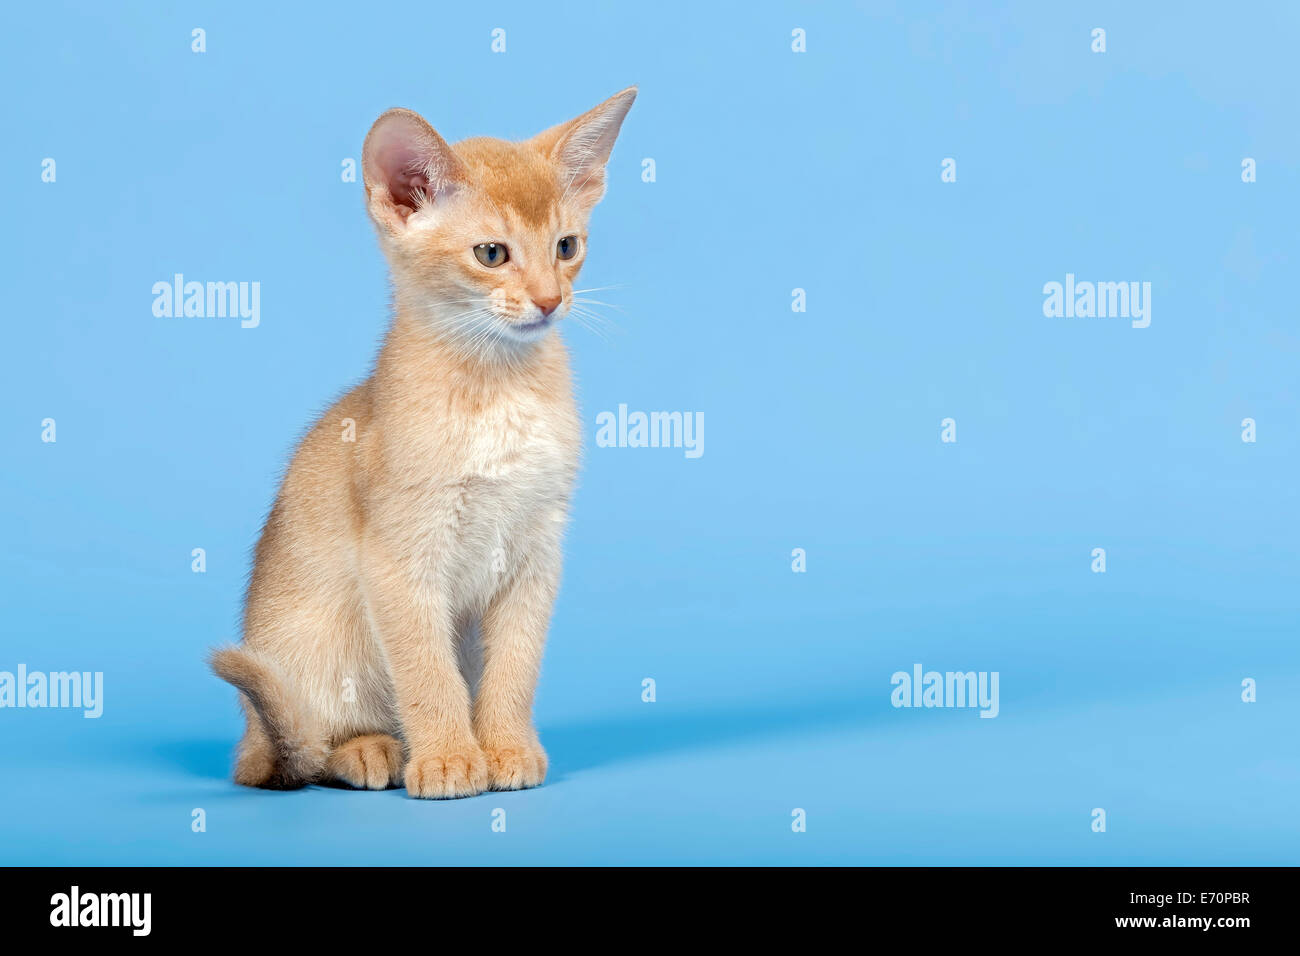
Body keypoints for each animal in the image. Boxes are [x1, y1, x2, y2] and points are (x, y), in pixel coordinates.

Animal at [208, 89, 634, 796]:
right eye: (491, 254)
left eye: (567, 246)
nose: (551, 299)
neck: (497, 389)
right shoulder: (400, 559)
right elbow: (428, 674)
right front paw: (449, 758)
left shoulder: (536, 554)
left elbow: (515, 669)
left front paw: (507, 748)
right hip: (319, 647)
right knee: (299, 750)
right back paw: (372, 750)